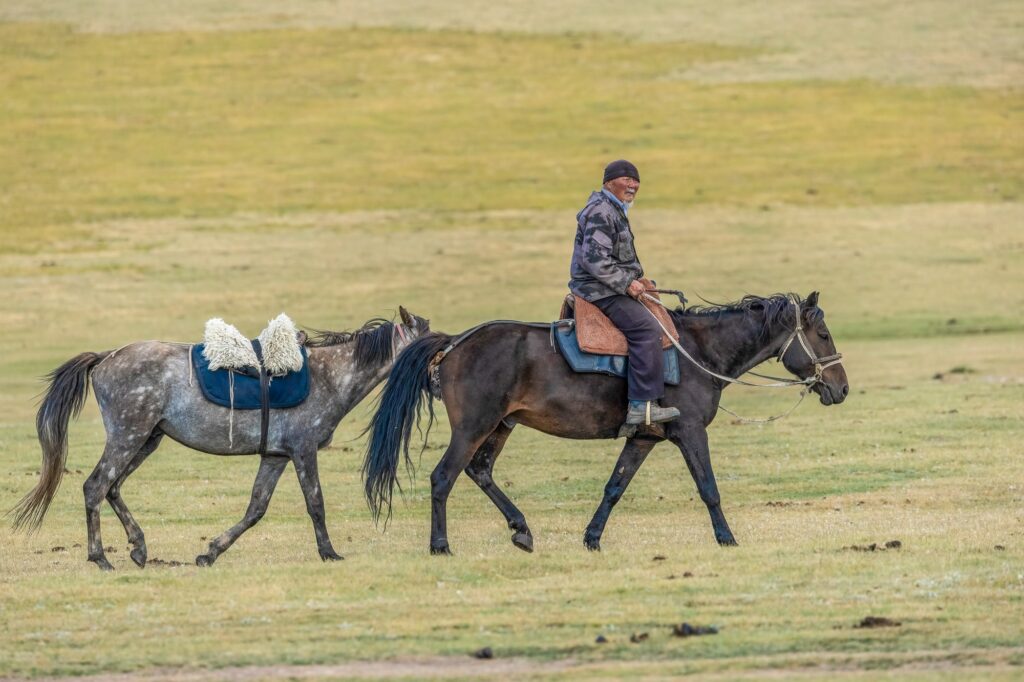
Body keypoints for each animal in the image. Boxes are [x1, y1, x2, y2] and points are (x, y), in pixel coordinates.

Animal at [10, 308, 429, 570]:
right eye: (428, 341)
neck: (329, 376)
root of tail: (106, 357)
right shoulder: (303, 451)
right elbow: (316, 504)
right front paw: (329, 553)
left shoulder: (276, 456)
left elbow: (256, 508)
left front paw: (210, 552)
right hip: (128, 436)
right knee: (96, 486)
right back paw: (101, 558)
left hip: (146, 439)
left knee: (112, 488)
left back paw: (139, 548)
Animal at [363, 292, 847, 555]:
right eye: (823, 335)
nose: (840, 388)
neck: (697, 350)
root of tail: (455, 343)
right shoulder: (691, 432)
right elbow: (708, 487)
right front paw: (727, 538)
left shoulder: (645, 438)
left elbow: (615, 486)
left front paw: (592, 538)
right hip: (473, 426)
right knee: (443, 477)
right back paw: (441, 545)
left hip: (501, 425)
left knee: (479, 471)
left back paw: (522, 530)